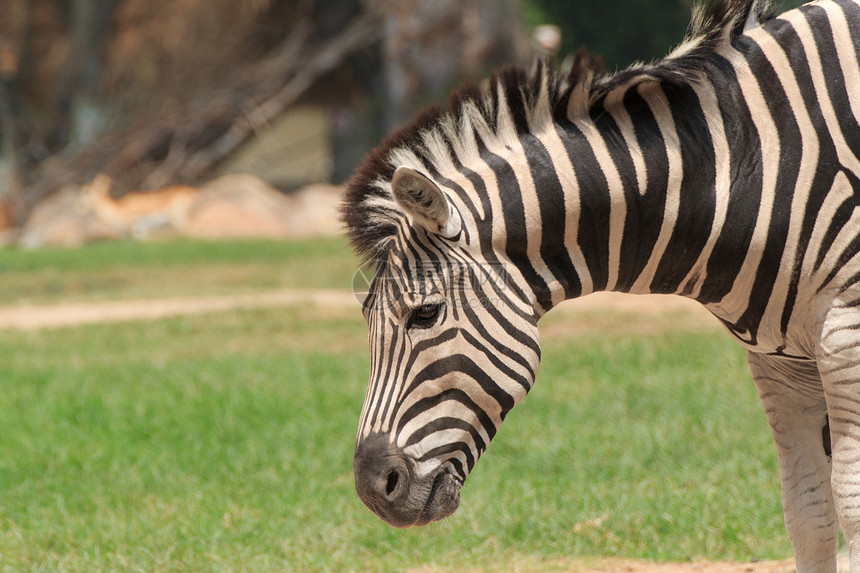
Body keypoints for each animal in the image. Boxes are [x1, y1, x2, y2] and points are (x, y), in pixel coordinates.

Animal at [342, 0, 860, 564]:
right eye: (367, 316)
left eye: (425, 314)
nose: (373, 489)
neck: (743, 164)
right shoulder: (778, 360)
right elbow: (807, 510)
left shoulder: (845, 335)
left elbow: (849, 502)